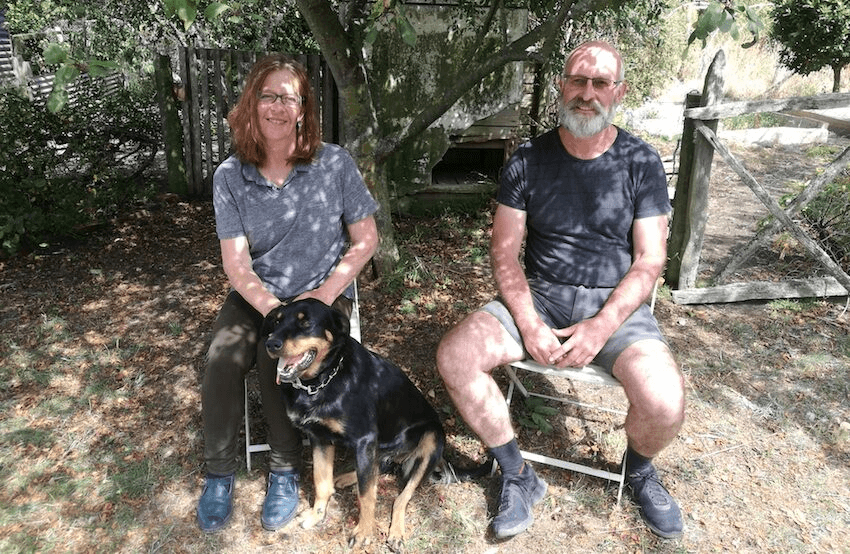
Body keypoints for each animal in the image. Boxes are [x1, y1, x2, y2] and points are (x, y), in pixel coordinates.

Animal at [262, 298, 456, 551]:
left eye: (305, 323)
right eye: (277, 321)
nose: (270, 343)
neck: (322, 381)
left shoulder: (365, 439)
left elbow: (366, 494)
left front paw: (364, 532)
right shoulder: (319, 438)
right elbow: (321, 480)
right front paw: (316, 515)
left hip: (432, 437)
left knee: (400, 497)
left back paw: (396, 531)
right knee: (379, 468)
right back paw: (347, 477)